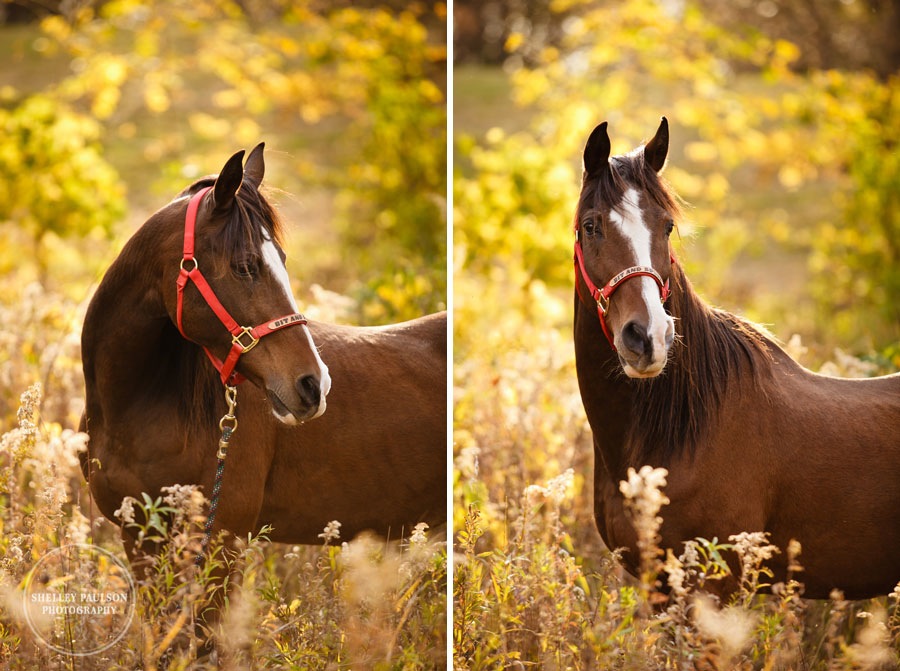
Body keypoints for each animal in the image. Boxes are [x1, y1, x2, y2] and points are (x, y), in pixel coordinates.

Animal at [81, 143, 446, 568]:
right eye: (244, 266)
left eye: (283, 261)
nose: (315, 385)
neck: (129, 410)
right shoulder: (138, 538)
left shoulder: (222, 538)